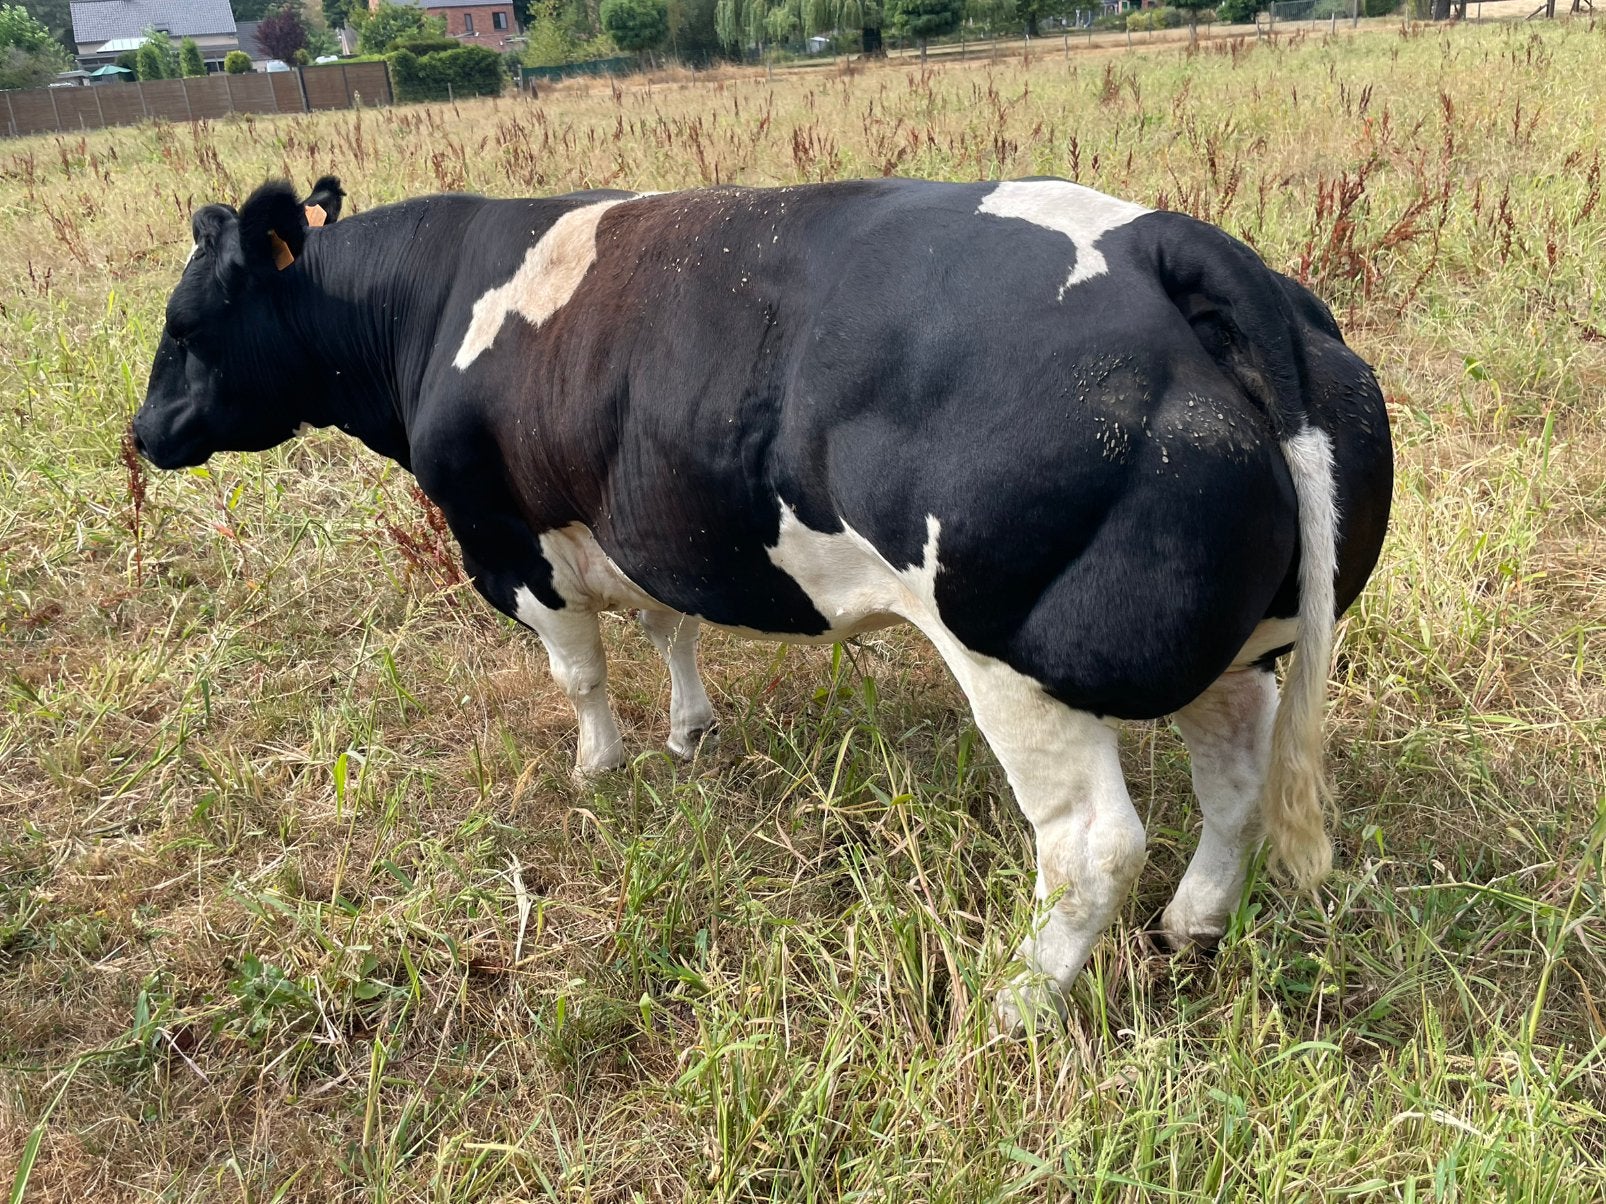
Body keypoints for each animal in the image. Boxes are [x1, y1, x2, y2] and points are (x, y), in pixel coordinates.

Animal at [130, 175, 1392, 1031]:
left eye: (187, 326)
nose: (142, 434)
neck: (434, 305)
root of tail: (1169, 246)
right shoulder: (647, 517)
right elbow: (667, 622)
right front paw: (689, 732)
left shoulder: (507, 538)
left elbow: (579, 668)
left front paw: (598, 766)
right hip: (1243, 645)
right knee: (1234, 785)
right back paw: (1191, 926)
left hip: (1013, 656)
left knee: (1091, 846)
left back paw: (1013, 1005)